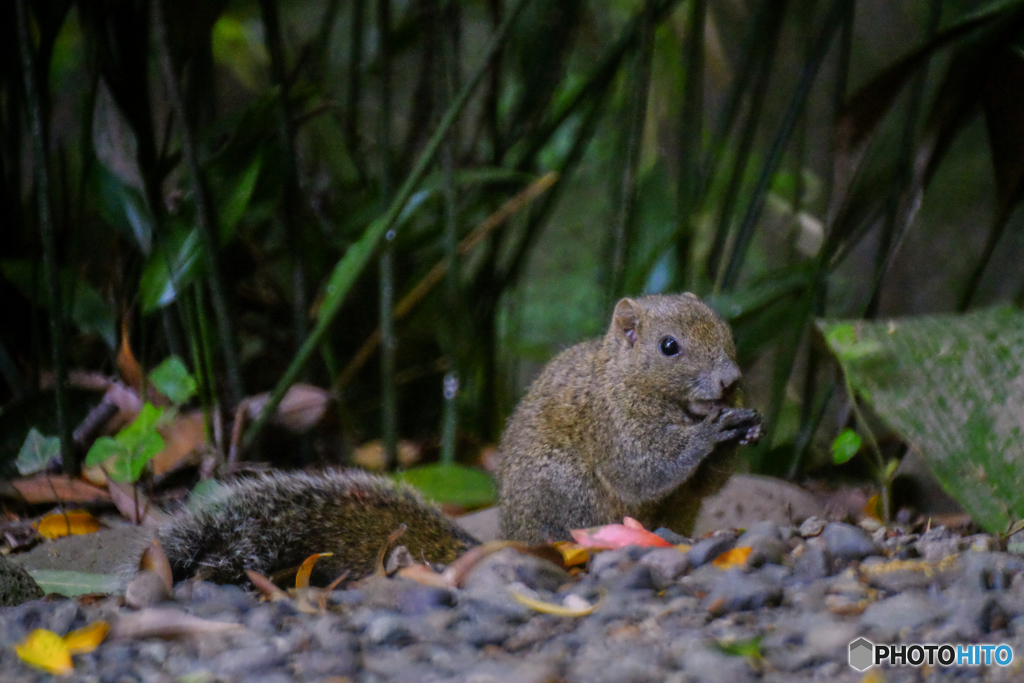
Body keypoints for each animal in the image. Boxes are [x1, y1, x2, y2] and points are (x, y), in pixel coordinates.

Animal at [159, 290, 761, 585]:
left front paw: (747, 422)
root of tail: (510, 537)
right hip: (566, 493)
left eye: (726, 329)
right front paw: (713, 430)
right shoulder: (611, 421)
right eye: (668, 347)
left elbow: (701, 484)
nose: (731, 379)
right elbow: (642, 471)